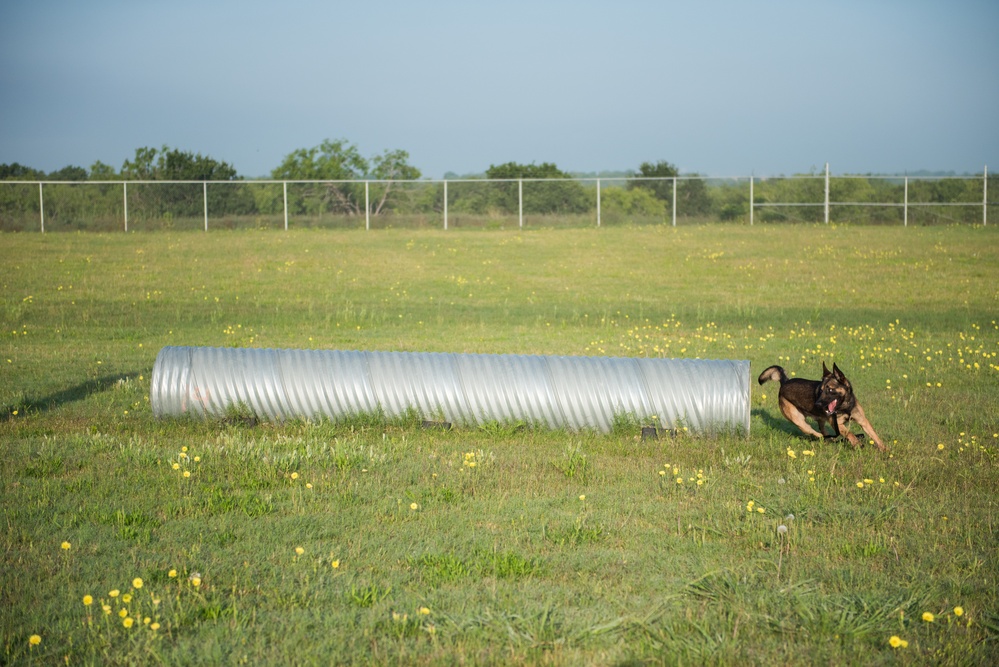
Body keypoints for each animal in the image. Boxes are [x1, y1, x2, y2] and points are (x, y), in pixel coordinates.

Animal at [752, 366, 888, 454]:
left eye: (830, 389)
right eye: (821, 390)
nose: (817, 404)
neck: (844, 406)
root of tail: (785, 382)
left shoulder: (863, 421)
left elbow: (874, 435)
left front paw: (885, 449)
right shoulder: (837, 424)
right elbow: (849, 433)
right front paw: (857, 443)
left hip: (820, 420)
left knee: (822, 430)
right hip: (800, 422)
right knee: (815, 433)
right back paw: (827, 439)